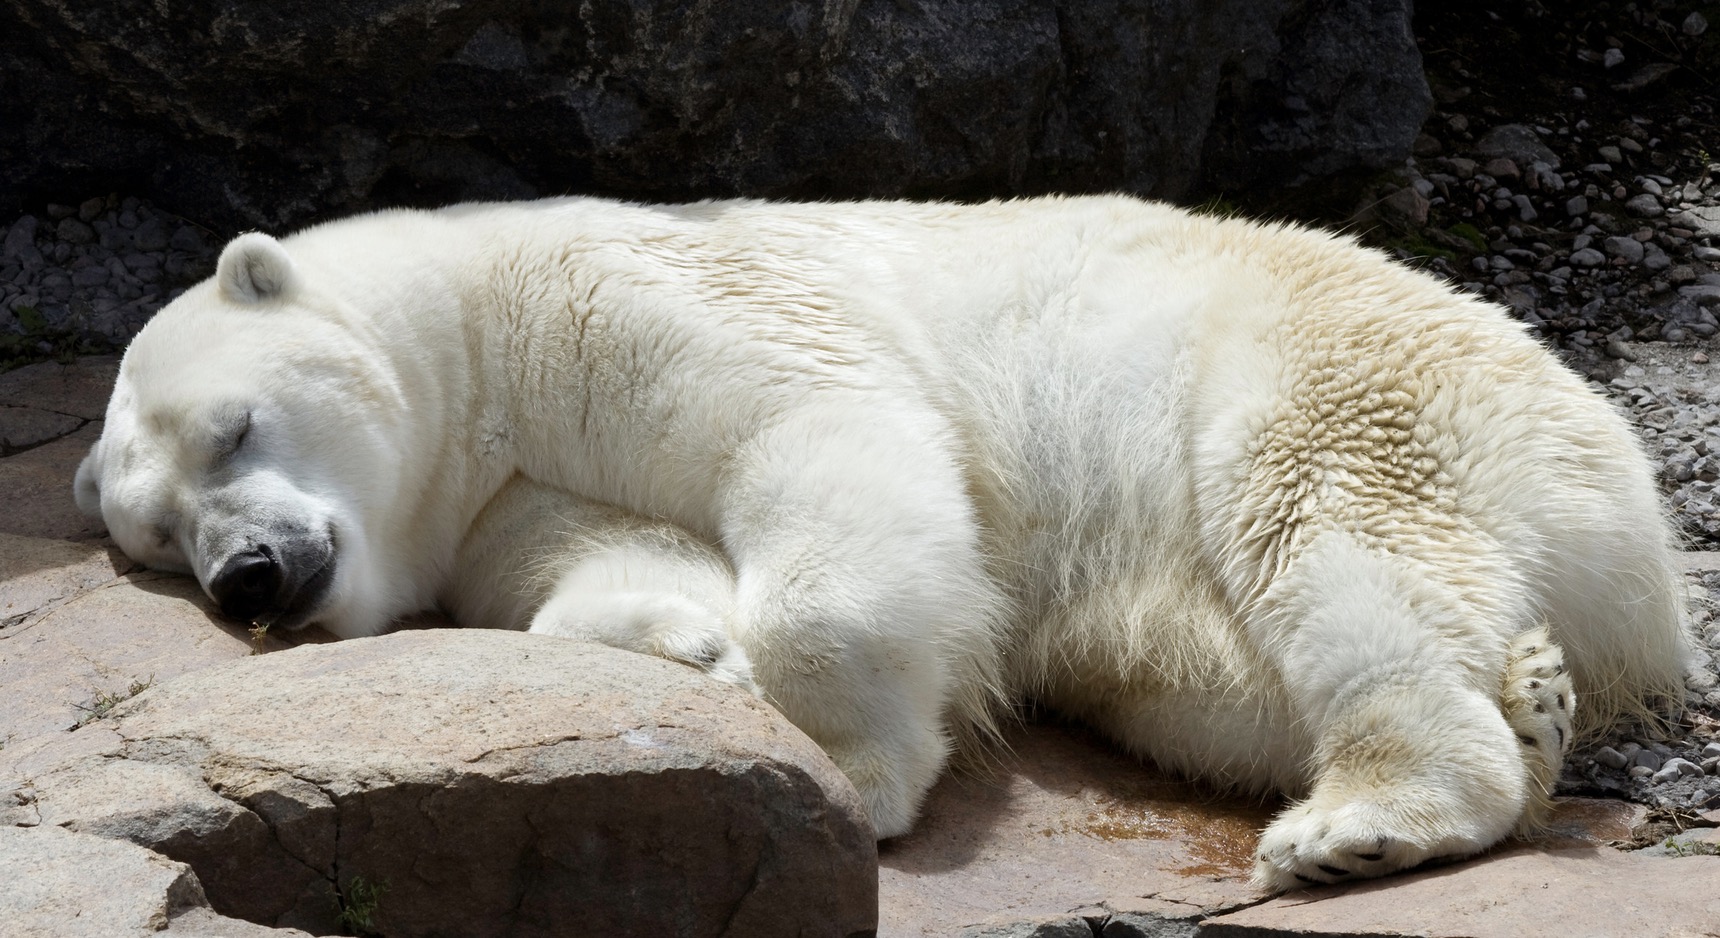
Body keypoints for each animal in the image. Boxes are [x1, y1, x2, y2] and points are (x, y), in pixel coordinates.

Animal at [72, 195, 1695, 890]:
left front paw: (850, 766)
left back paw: (1367, 817)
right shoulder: (494, 491)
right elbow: (601, 561)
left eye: (231, 431)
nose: (250, 576)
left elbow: (820, 434)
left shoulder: (613, 292)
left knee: (1331, 536)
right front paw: (698, 648)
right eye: (157, 536)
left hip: (1329, 373)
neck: (472, 340)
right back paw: (1533, 703)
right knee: (1195, 678)